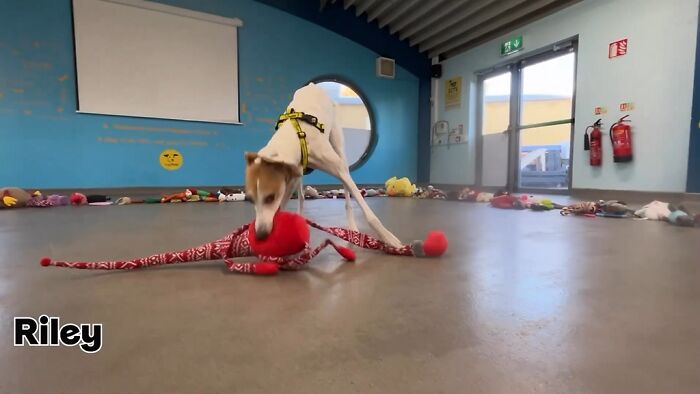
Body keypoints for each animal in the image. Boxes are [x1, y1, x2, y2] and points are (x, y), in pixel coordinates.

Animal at [246, 82, 402, 246]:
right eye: (250, 199)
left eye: (270, 197)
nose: (260, 235)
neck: (294, 136)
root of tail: (312, 85)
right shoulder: (290, 177)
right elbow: (281, 207)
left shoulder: (339, 170)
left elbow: (370, 215)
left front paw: (388, 238)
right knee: (302, 197)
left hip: (340, 152)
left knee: (347, 196)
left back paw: (353, 227)